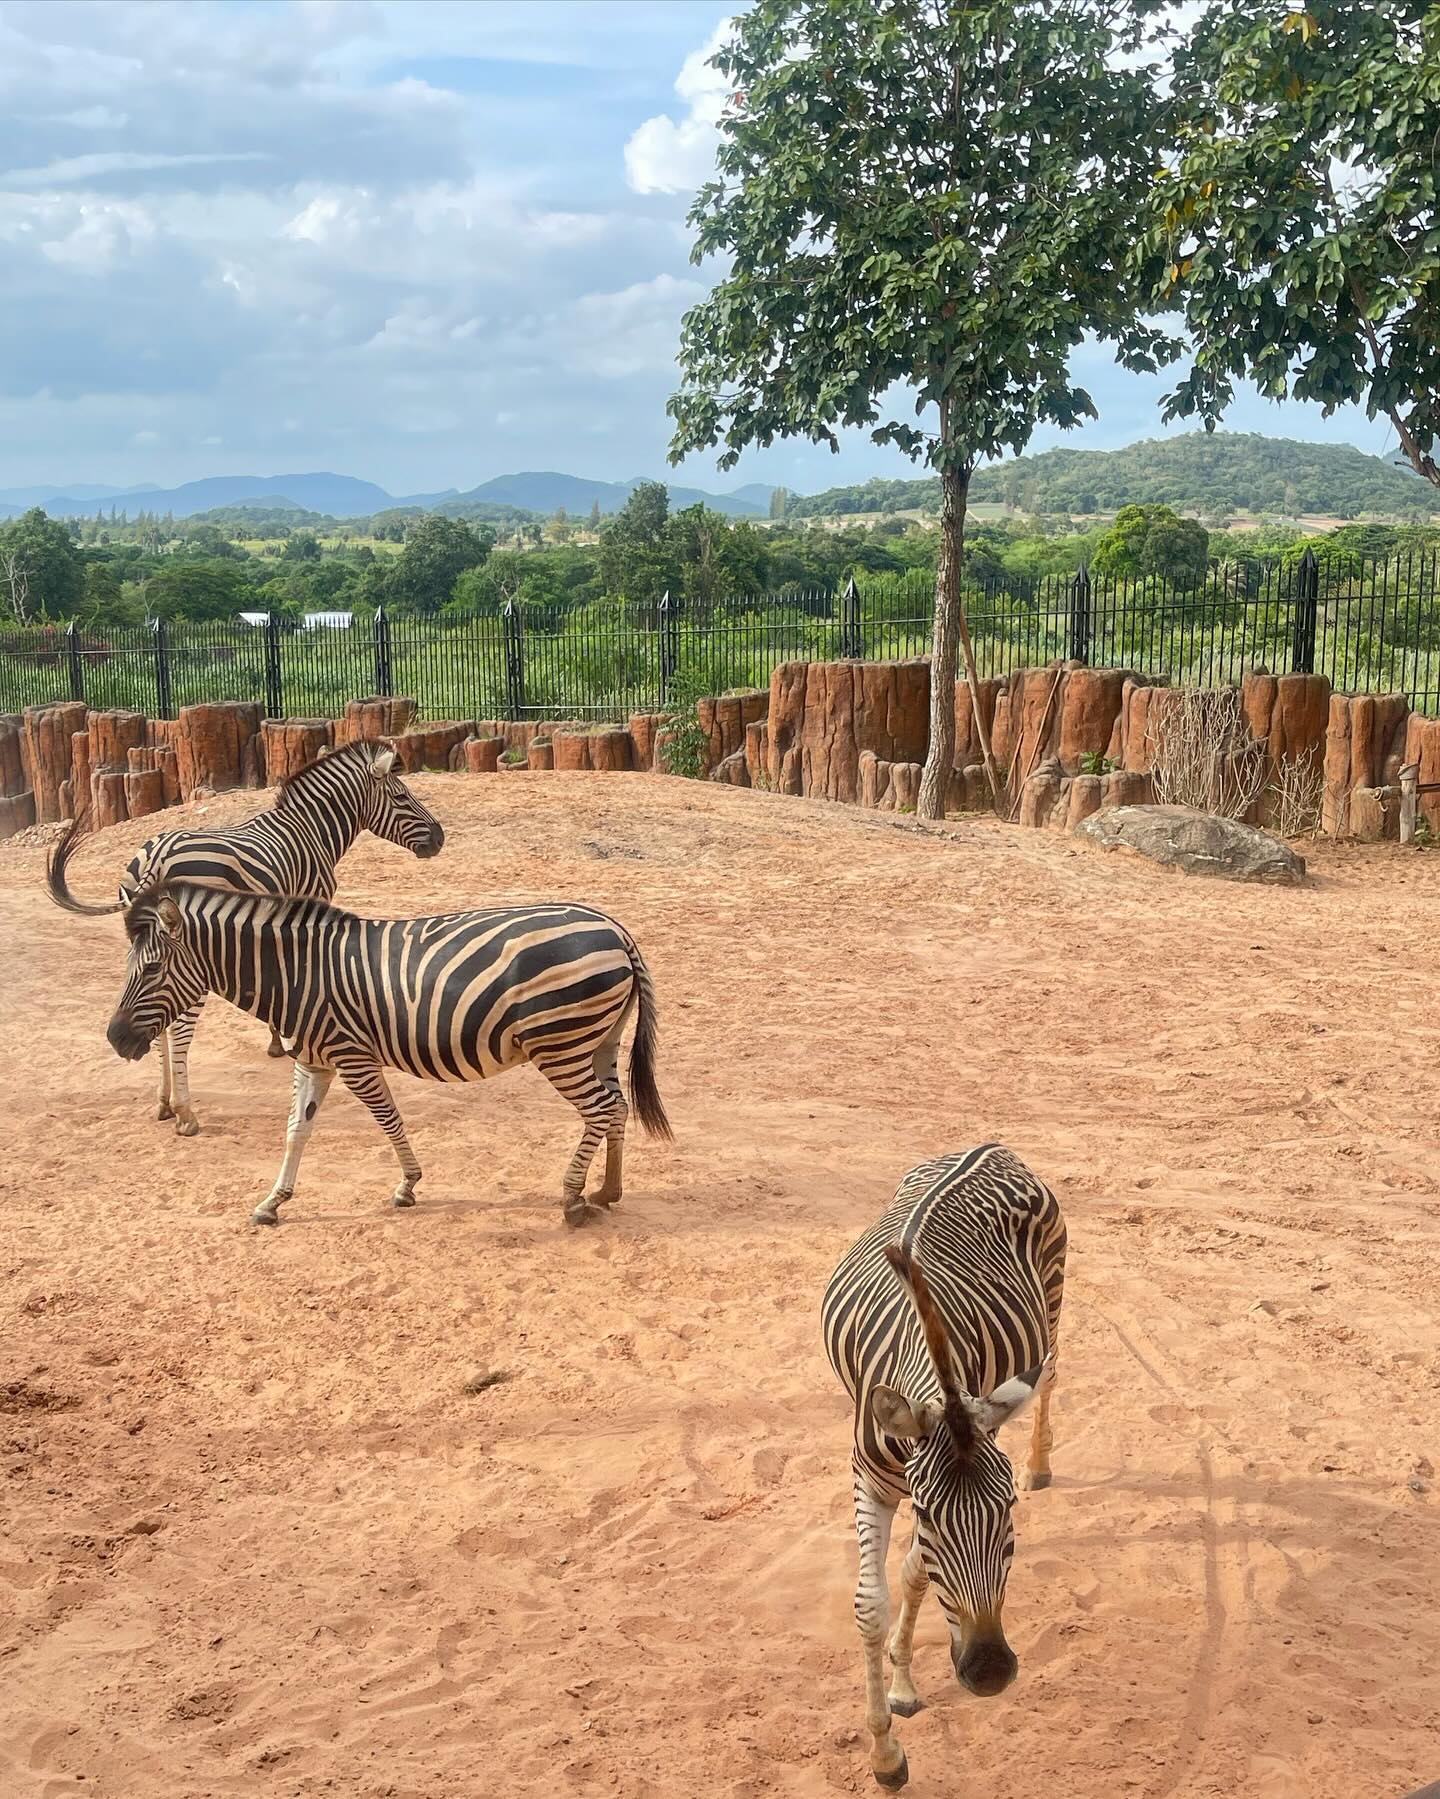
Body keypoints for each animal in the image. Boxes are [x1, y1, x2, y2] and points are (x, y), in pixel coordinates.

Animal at [47, 733, 441, 1129]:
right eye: (402, 796)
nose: (439, 838)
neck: (311, 829)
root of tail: (158, 855)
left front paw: (277, 1042)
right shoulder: (309, 904)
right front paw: (291, 1041)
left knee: (159, 1022)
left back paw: (163, 1103)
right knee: (180, 1028)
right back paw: (185, 1111)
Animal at [47, 820, 673, 1230]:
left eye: (151, 969)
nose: (115, 1039)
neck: (296, 973)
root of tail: (615, 928)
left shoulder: (352, 1056)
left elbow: (388, 1119)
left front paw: (408, 1185)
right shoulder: (312, 1058)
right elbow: (296, 1129)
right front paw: (273, 1201)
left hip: (560, 1041)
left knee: (599, 1109)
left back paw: (572, 1199)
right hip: (597, 1040)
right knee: (616, 1106)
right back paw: (608, 1190)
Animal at [817, 1144, 1065, 1791]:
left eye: (1009, 1513)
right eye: (928, 1516)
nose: (989, 1672)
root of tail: (992, 1146)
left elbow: (914, 1576)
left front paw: (903, 1683)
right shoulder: (871, 1480)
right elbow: (872, 1604)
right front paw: (885, 1752)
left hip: (1054, 1299)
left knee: (1050, 1377)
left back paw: (1040, 1463)